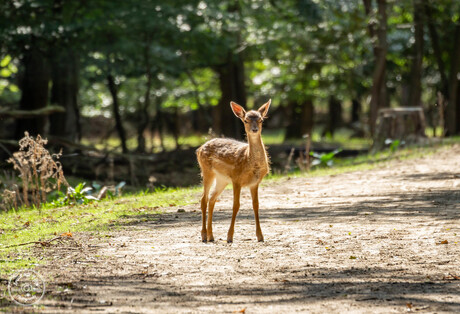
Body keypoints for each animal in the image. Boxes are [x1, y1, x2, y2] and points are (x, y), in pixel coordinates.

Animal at [197, 100, 270, 243]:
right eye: (246, 120)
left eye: (261, 120)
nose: (254, 129)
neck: (249, 160)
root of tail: (199, 149)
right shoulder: (237, 179)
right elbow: (236, 205)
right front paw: (229, 237)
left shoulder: (255, 183)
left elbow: (256, 205)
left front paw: (260, 236)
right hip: (207, 171)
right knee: (204, 199)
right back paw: (203, 236)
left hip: (222, 179)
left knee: (212, 199)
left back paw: (211, 236)